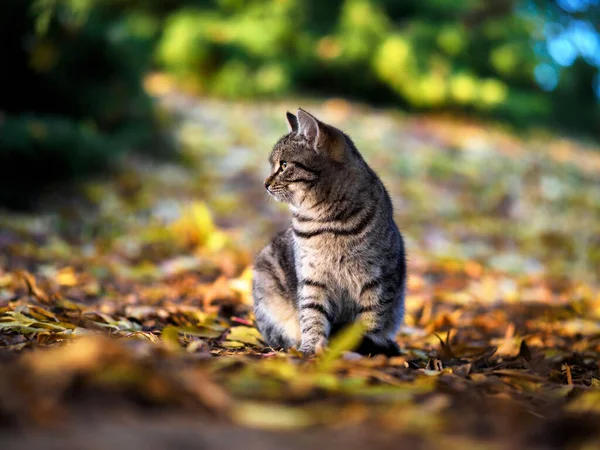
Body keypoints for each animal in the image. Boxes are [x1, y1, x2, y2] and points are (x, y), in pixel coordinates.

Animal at [251, 108, 406, 356]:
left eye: (283, 165)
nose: (265, 183)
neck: (327, 222)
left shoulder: (378, 279)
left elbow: (371, 318)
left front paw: (365, 349)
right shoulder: (312, 278)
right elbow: (312, 315)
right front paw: (311, 348)